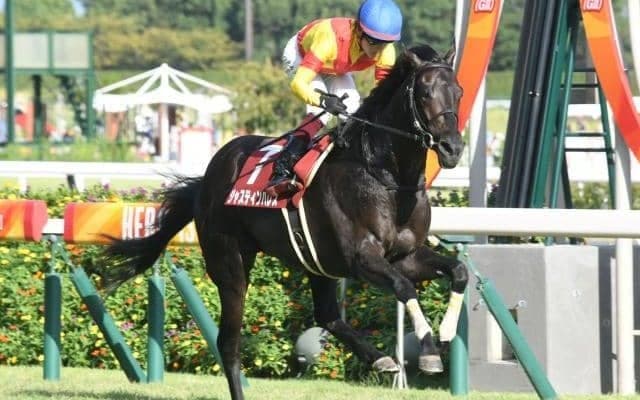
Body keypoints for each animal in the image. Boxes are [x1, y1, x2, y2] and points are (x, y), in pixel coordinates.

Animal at [98, 44, 467, 400]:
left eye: (459, 91)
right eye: (424, 93)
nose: (452, 148)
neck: (385, 177)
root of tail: (208, 176)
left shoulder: (405, 256)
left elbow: (458, 272)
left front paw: (447, 333)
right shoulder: (362, 259)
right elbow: (404, 287)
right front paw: (430, 352)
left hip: (318, 264)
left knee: (327, 315)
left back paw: (380, 358)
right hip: (229, 263)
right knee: (228, 342)